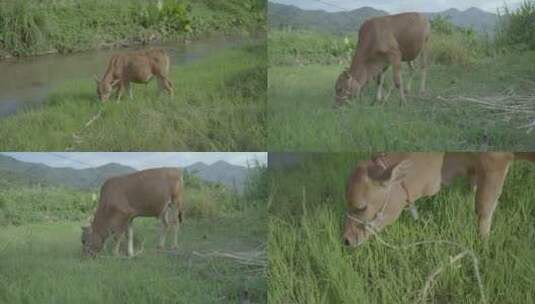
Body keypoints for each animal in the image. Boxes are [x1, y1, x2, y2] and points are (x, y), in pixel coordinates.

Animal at [344, 152, 535, 247]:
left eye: (361, 207)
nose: (346, 240)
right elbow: (472, 190)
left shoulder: (495, 161)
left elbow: (484, 208)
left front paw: (484, 243)